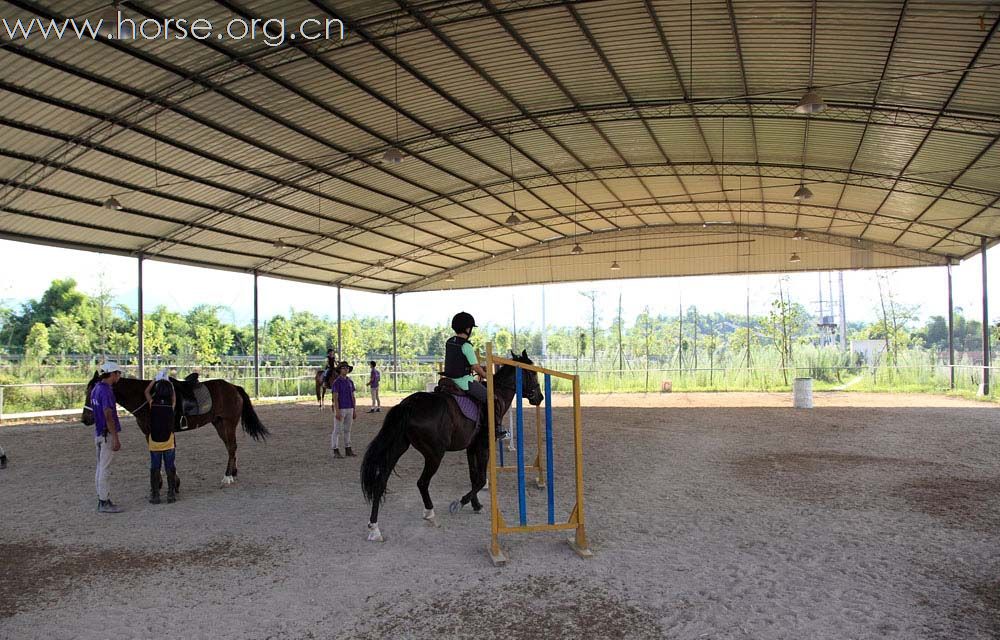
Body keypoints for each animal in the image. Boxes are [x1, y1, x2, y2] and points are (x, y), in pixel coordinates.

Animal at [82, 372, 268, 488]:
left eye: (94, 393)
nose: (85, 419)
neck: (147, 398)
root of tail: (234, 387)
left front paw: (173, 482)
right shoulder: (149, 433)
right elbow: (156, 455)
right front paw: (159, 483)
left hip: (228, 423)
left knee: (232, 447)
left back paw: (228, 476)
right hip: (219, 423)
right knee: (231, 447)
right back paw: (233, 473)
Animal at [362, 352, 544, 544]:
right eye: (532, 373)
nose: (539, 397)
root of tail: (408, 405)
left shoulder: (471, 448)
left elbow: (473, 477)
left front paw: (476, 505)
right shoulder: (483, 446)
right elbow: (480, 479)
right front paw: (460, 503)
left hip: (398, 449)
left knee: (380, 482)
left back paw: (374, 528)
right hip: (434, 455)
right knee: (422, 482)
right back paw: (430, 513)